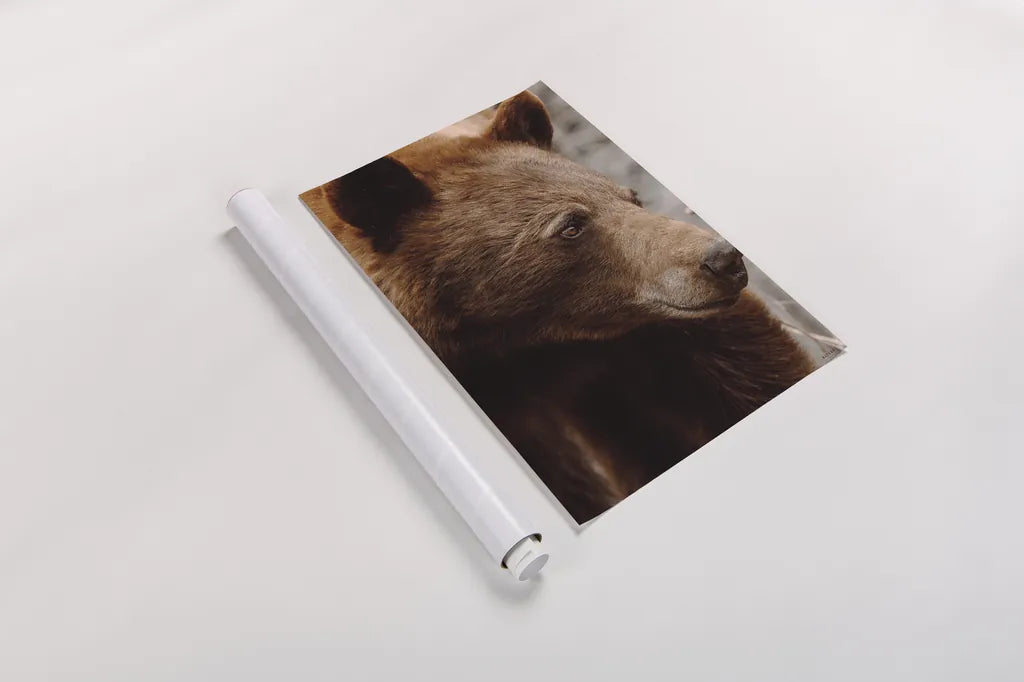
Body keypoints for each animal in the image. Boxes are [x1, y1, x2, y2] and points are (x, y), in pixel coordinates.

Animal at [301, 90, 814, 523]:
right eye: (571, 225)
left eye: (631, 197)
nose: (720, 260)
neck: (519, 343)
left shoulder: (643, 339)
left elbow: (742, 375)